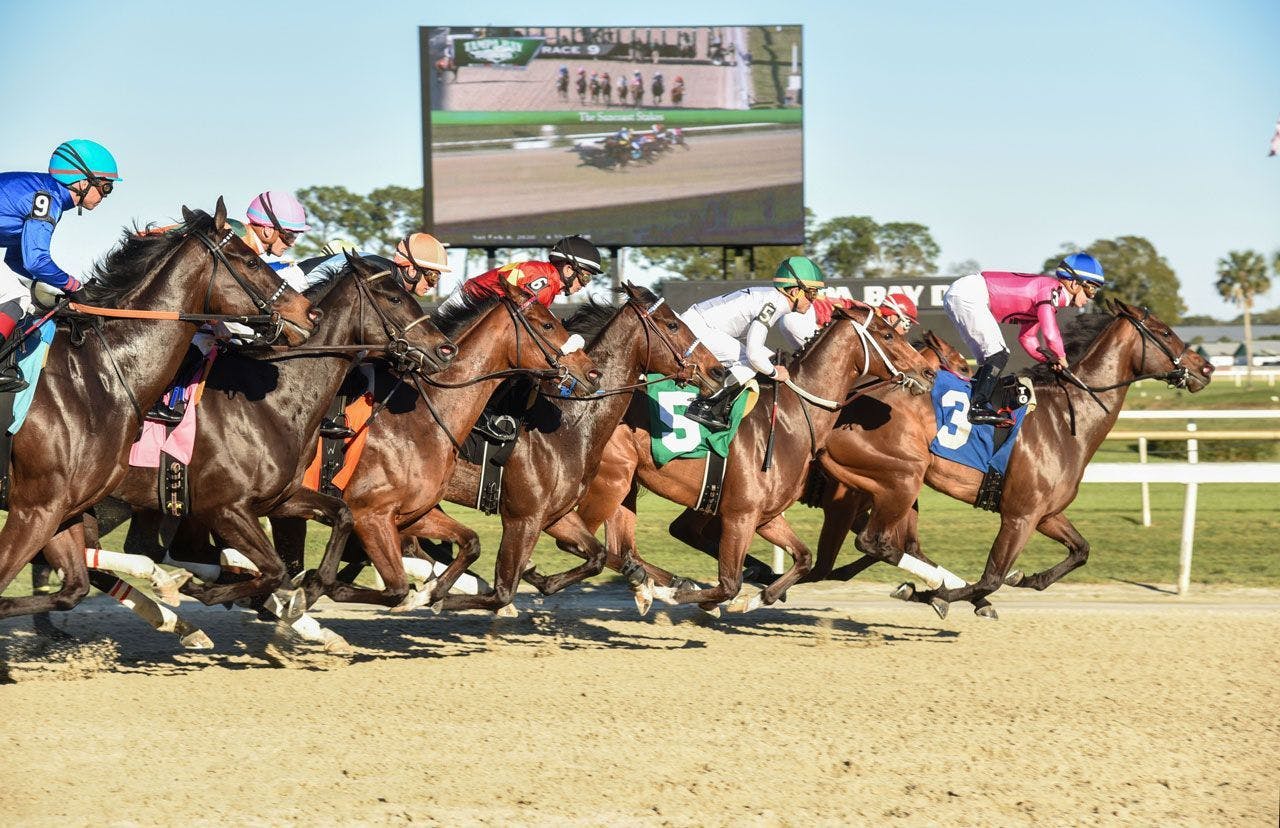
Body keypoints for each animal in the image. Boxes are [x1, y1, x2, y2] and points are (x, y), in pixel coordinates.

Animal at [0, 199, 314, 621]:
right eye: (250, 261)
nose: (307, 312)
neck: (98, 375)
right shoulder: (33, 508)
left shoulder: (63, 509)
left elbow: (72, 588)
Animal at [280, 290, 599, 609]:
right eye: (547, 325)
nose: (591, 373)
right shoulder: (371, 514)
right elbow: (491, 590)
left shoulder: (415, 513)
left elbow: (473, 543)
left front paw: (432, 593)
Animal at [430, 281, 727, 611]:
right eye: (673, 325)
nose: (718, 372)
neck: (570, 425)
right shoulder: (524, 517)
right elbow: (503, 590)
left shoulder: (555, 514)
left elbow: (595, 555)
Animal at [576, 307, 936, 611]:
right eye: (888, 335)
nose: (928, 371)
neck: (792, 418)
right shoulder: (740, 515)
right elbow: (728, 584)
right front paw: (686, 595)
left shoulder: (766, 516)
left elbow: (803, 558)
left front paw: (760, 596)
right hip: (610, 482)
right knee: (595, 543)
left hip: (625, 485)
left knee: (621, 549)